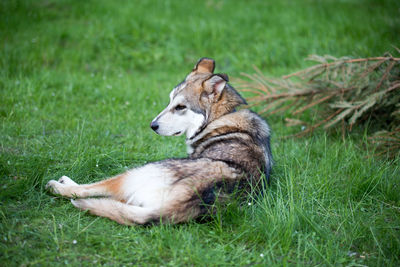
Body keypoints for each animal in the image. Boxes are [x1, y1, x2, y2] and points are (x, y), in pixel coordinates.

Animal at [46, 58, 272, 226]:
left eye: (180, 107)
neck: (221, 117)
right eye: (170, 100)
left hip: (136, 172)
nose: (152, 125)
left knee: (89, 189)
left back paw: (60, 185)